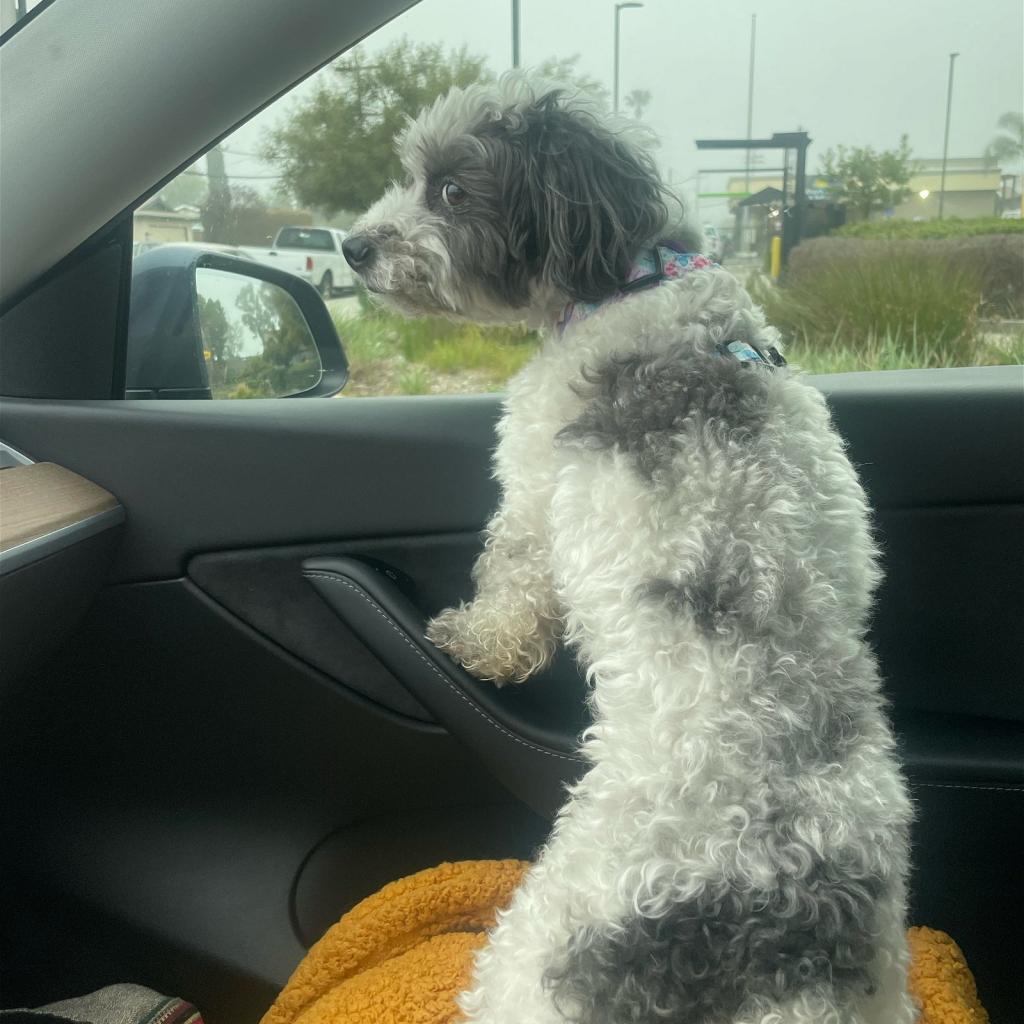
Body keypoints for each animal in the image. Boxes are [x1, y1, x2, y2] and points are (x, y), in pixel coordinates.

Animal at [346, 77, 921, 1024]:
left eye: (452, 190)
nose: (352, 247)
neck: (634, 284)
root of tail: (781, 942)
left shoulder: (533, 487)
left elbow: (513, 580)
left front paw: (477, 641)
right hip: (885, 977)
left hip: (533, 954)